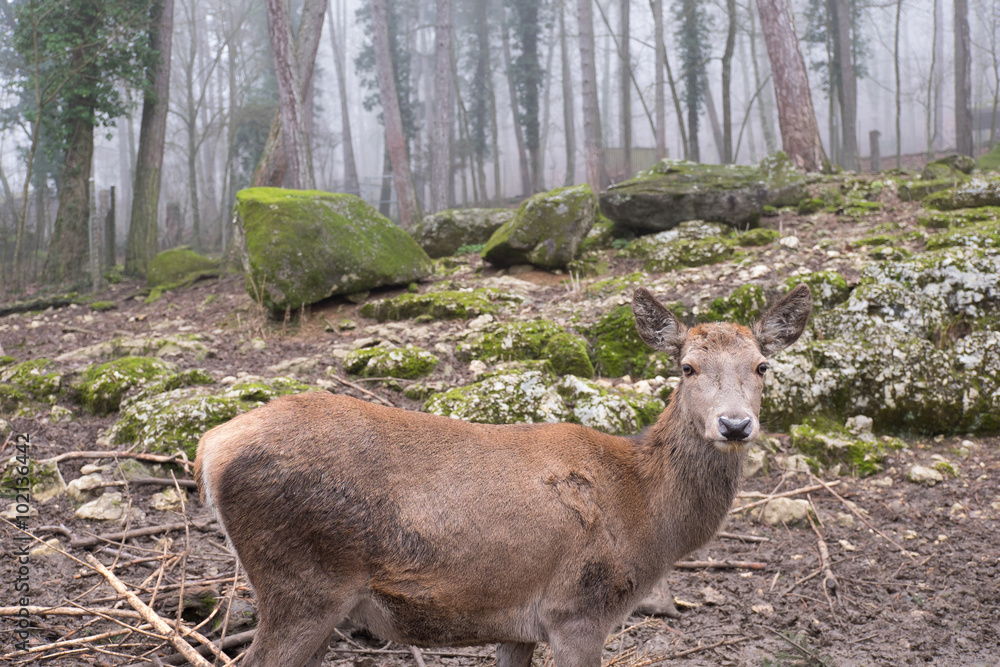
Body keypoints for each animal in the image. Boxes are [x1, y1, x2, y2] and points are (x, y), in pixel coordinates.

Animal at [195, 284, 812, 667]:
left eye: (762, 365)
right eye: (687, 367)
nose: (735, 424)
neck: (644, 509)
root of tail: (210, 448)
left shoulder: (518, 626)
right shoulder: (578, 609)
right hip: (301, 584)